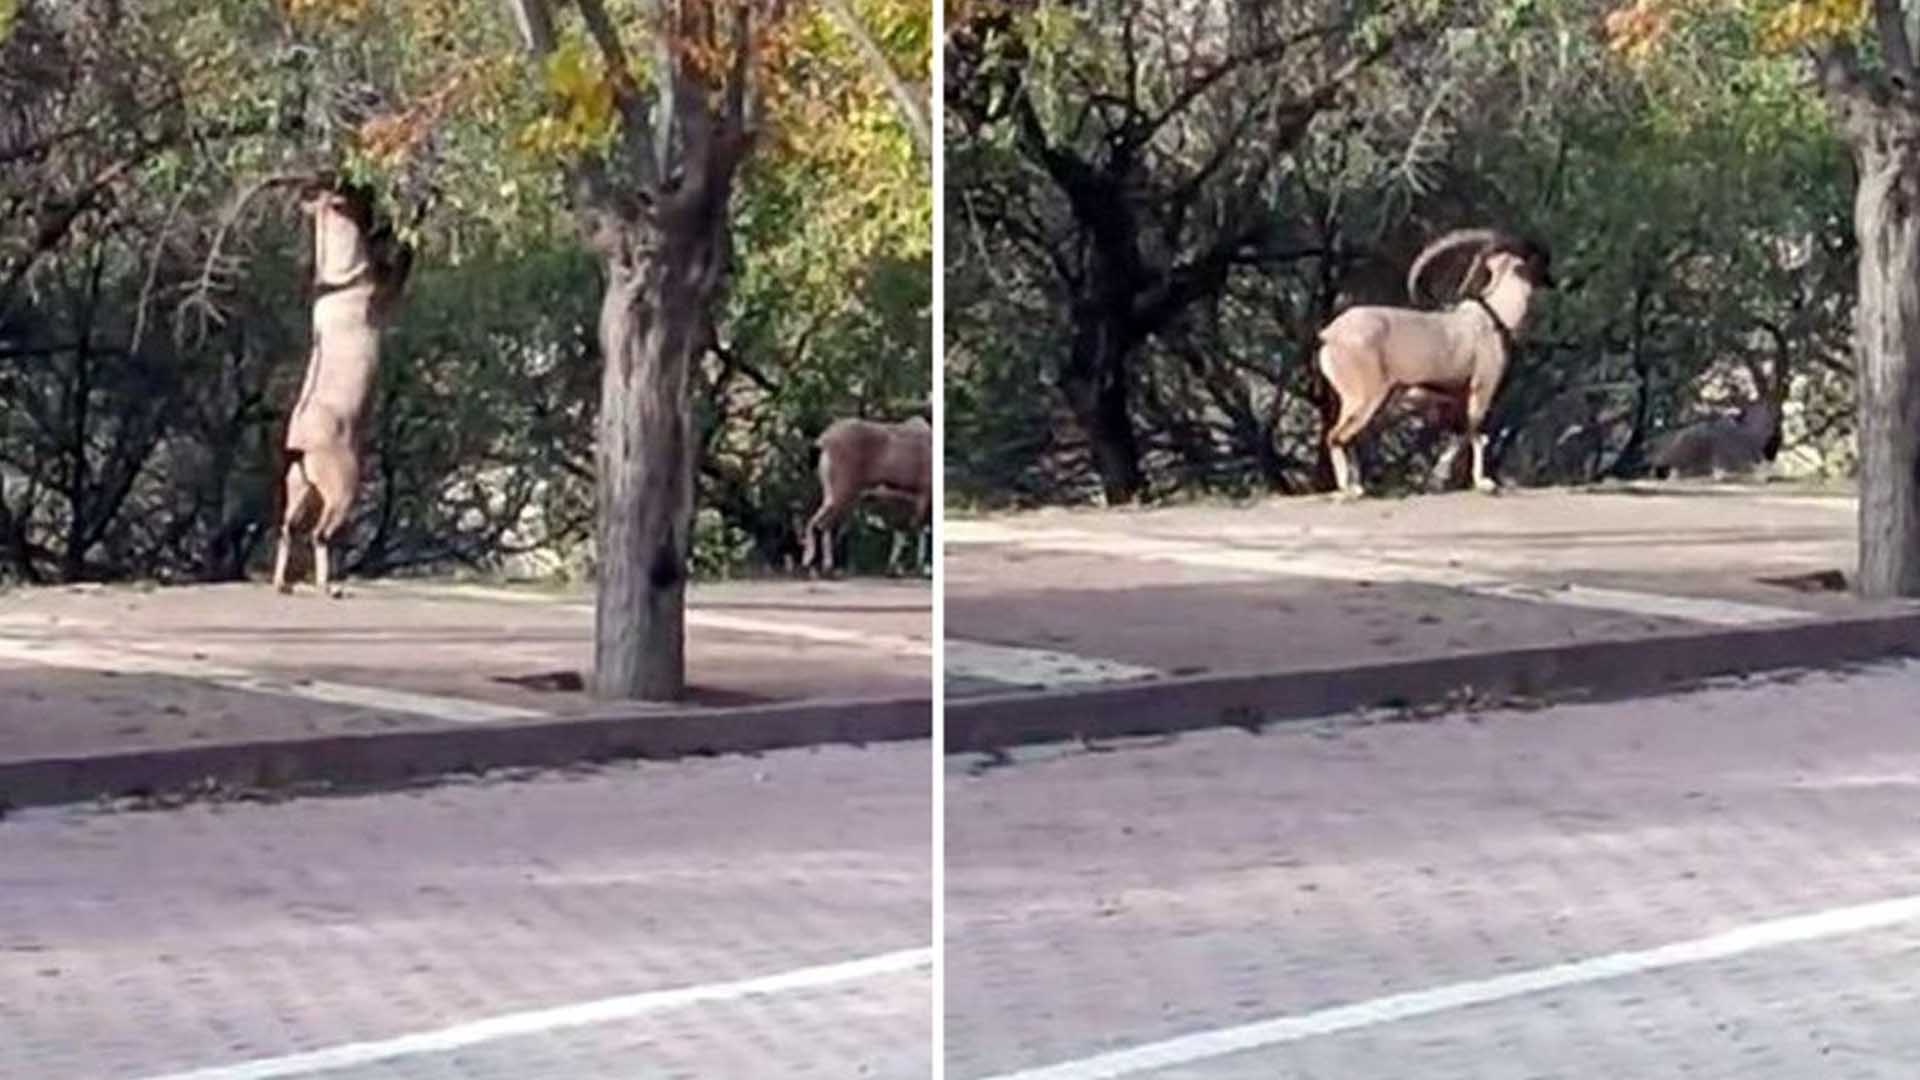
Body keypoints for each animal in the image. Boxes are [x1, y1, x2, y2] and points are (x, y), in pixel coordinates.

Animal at [272, 180, 410, 591]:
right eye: (352, 197)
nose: (370, 187)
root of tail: (300, 447)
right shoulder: (384, 290)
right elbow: (400, 261)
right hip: (342, 489)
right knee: (320, 534)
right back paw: (327, 586)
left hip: (298, 490)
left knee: (287, 531)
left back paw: (282, 583)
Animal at [798, 417, 933, 576]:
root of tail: (823, 442)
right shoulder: (923, 494)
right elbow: (919, 528)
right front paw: (920, 568)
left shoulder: (904, 502)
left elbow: (903, 531)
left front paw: (894, 568)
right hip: (842, 493)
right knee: (825, 524)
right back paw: (825, 567)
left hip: (834, 494)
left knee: (819, 523)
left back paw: (813, 564)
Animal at [1320, 228, 1559, 499]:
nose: (1552, 281)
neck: (1494, 317)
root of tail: (1330, 335)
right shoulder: (1481, 388)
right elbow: (1477, 432)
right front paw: (1484, 483)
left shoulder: (1454, 399)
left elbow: (1458, 434)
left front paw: (1438, 480)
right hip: (1365, 398)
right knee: (1335, 436)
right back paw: (1349, 489)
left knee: (1348, 438)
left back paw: (1358, 486)